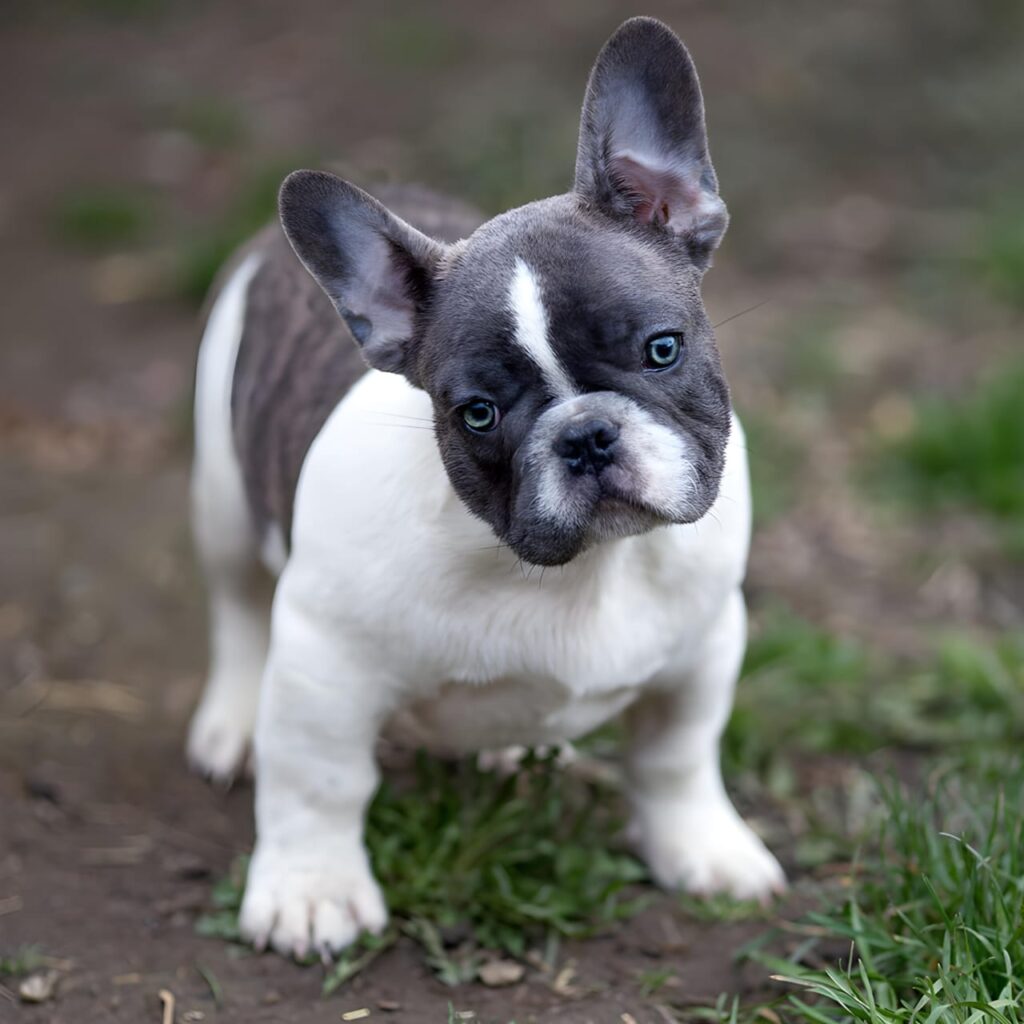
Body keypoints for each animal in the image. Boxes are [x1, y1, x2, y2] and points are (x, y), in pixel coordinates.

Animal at [188, 16, 782, 958]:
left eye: (662, 349)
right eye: (476, 413)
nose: (585, 434)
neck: (579, 569)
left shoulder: (704, 643)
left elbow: (677, 756)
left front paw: (702, 847)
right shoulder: (324, 666)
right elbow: (319, 784)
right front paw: (311, 892)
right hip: (220, 487)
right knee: (238, 601)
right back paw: (234, 720)